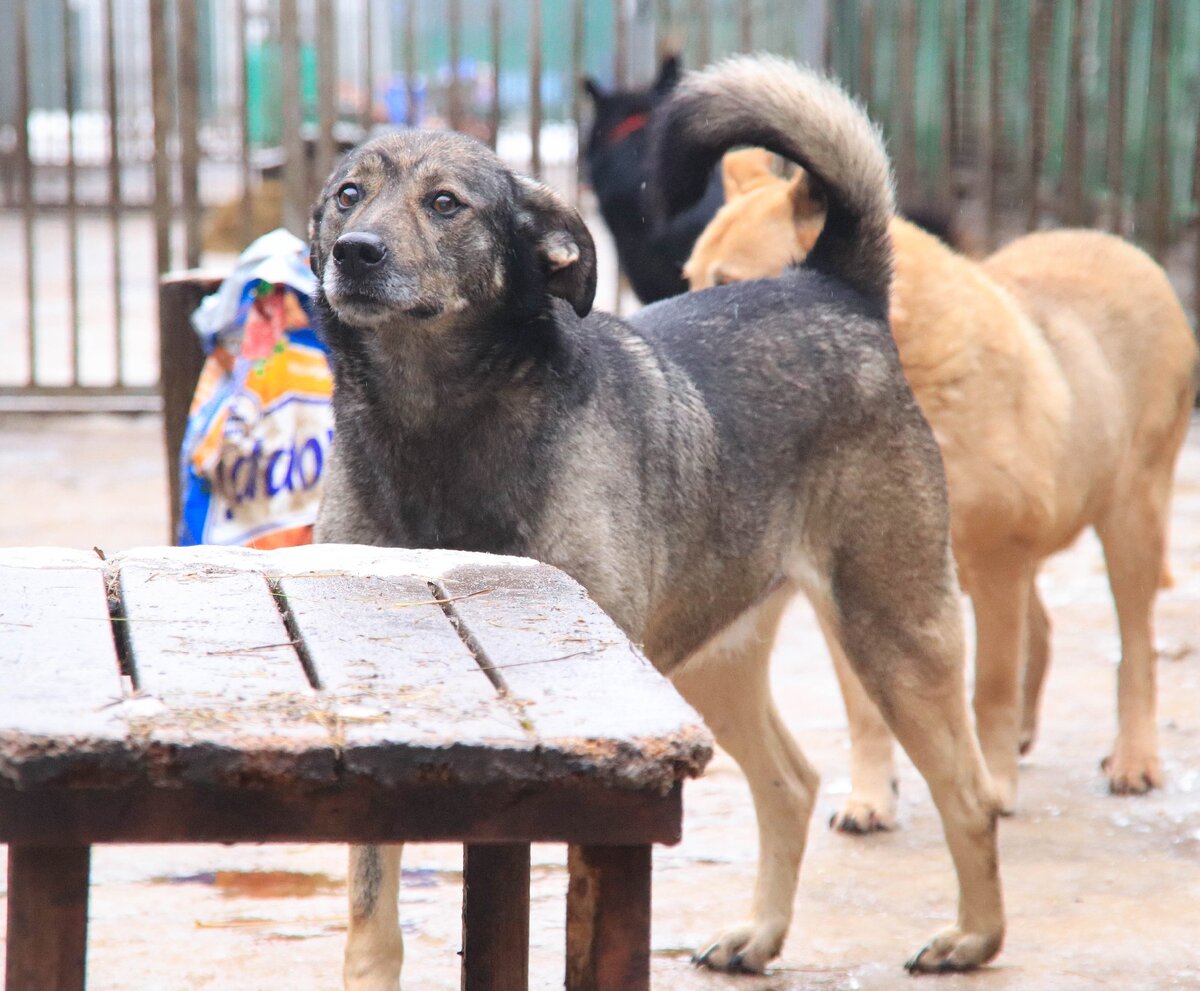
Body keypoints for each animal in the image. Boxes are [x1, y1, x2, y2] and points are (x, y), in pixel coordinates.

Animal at [686, 148, 1200, 825]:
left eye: (731, 286)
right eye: (688, 277)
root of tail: (1124, 245)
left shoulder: (999, 558)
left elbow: (991, 689)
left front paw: (996, 787)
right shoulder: (850, 588)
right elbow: (865, 711)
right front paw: (872, 796)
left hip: (1129, 524)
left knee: (1136, 651)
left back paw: (1134, 758)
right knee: (1045, 627)